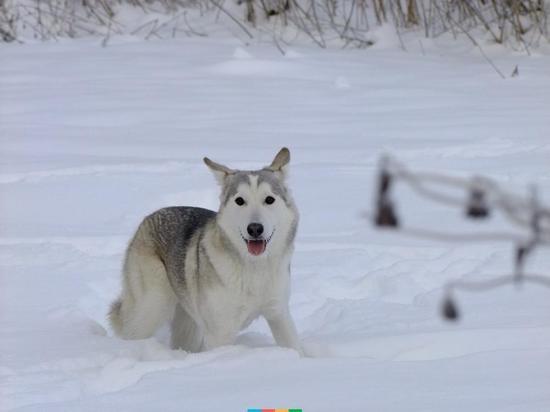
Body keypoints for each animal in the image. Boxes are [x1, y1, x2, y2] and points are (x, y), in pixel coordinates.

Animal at [110, 147, 304, 354]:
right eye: (240, 201)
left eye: (269, 200)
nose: (255, 229)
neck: (255, 269)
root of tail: (149, 217)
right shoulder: (221, 333)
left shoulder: (279, 314)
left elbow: (295, 347)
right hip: (153, 306)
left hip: (186, 322)